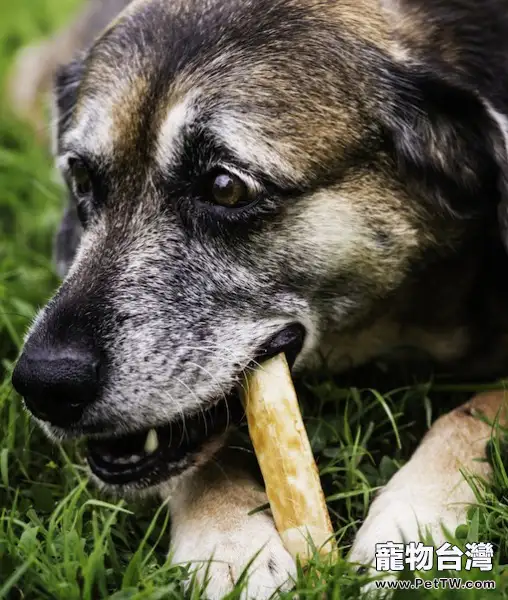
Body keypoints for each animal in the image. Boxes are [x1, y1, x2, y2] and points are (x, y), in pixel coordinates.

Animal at [8, 0, 508, 596]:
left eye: (226, 188)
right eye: (81, 176)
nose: (43, 384)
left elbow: (478, 409)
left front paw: (413, 520)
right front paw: (227, 541)